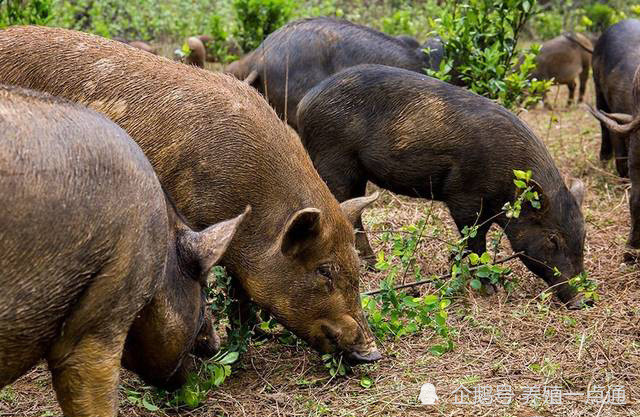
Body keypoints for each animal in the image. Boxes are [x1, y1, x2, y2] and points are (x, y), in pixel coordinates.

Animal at [298, 64, 588, 306]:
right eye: (553, 238)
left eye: (582, 236)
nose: (581, 301)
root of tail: (305, 102)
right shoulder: (464, 196)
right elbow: (475, 239)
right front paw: (487, 289)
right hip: (334, 161)